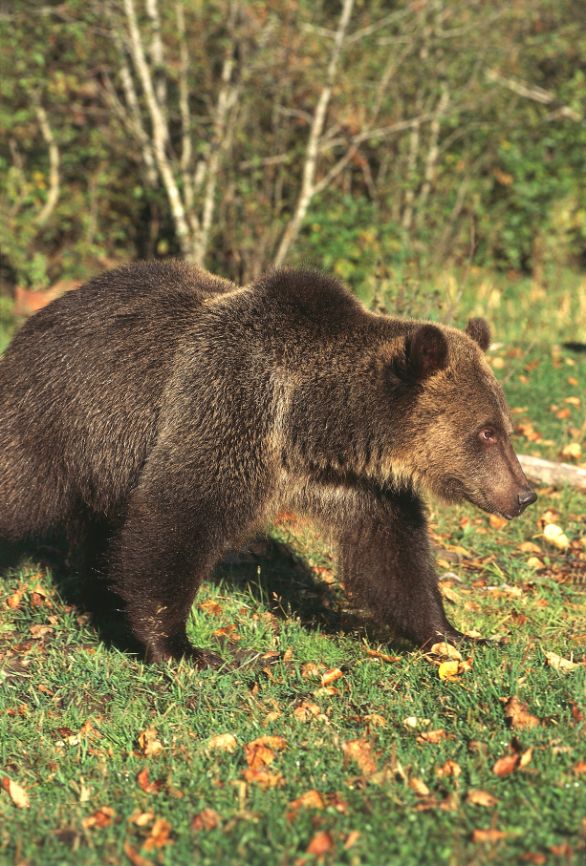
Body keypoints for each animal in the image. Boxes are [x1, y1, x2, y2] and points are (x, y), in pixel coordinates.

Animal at [0, 260, 536, 665]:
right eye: (486, 432)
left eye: (504, 425)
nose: (525, 494)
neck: (309, 424)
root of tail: (38, 317)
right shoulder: (229, 404)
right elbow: (176, 518)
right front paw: (181, 647)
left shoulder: (349, 482)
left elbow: (390, 552)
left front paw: (456, 634)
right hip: (52, 420)